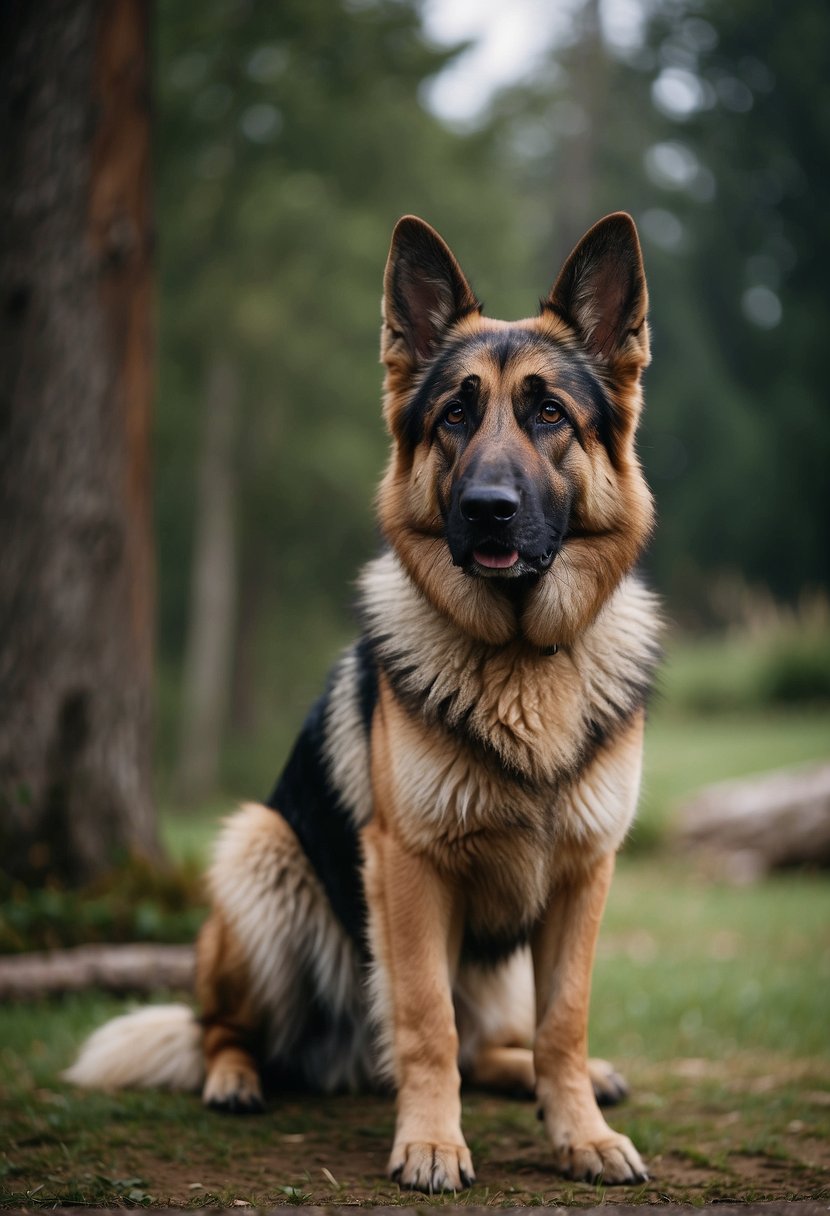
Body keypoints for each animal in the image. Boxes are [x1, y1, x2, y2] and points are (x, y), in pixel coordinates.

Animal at [65, 211, 661, 1186]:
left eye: (549, 414)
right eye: (455, 414)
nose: (488, 509)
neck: (518, 660)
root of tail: (342, 1057)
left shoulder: (584, 872)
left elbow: (562, 1024)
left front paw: (581, 1133)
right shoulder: (408, 867)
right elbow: (424, 1020)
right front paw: (431, 1141)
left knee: (493, 1043)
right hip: (260, 855)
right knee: (222, 1027)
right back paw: (234, 1077)